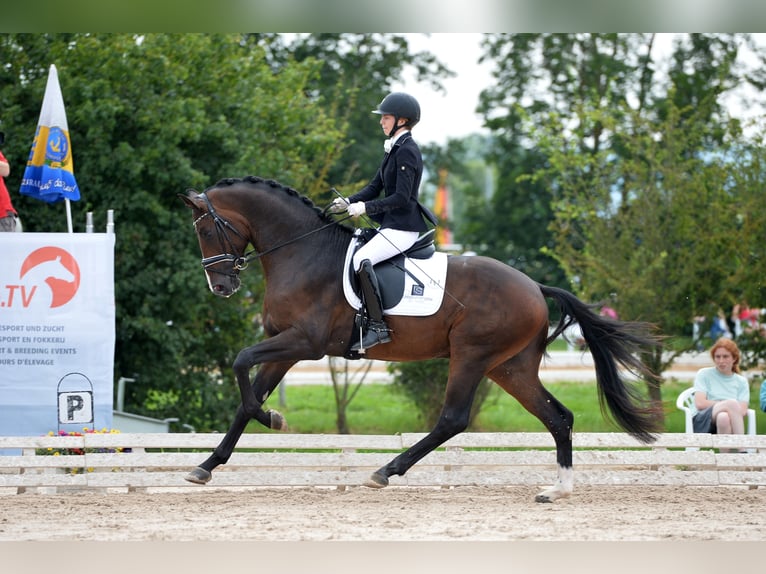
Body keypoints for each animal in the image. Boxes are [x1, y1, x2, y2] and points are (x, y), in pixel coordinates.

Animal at [178, 176, 660, 504]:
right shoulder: (284, 345)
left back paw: (386, 470)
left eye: (206, 231)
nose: (221, 287)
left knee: (453, 418)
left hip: (471, 355)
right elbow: (246, 398)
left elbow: (241, 363)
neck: (302, 252)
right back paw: (556, 490)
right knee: (558, 417)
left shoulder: (304, 343)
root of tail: (535, 286)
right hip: (510, 366)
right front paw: (206, 466)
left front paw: (273, 419)